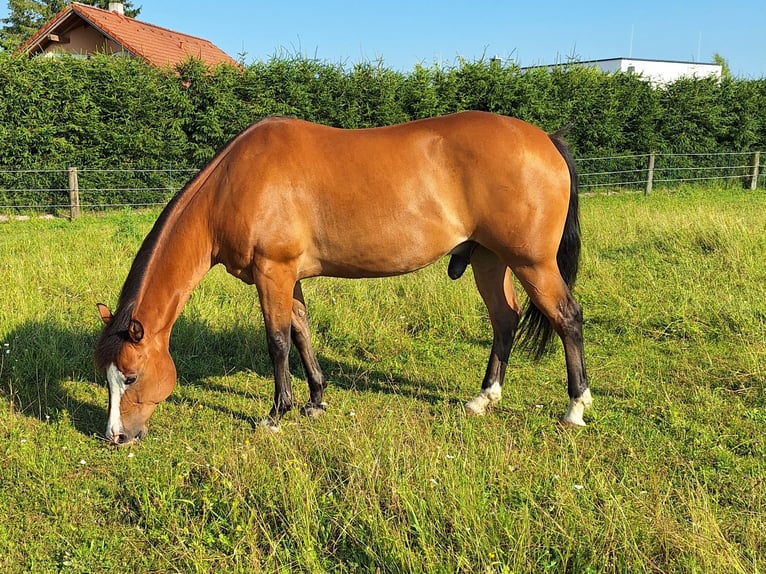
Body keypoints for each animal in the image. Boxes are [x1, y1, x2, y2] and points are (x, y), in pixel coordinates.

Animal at [95, 111, 591, 446]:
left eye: (132, 378)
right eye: (108, 378)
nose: (115, 437)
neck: (234, 184)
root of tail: (546, 139)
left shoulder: (272, 272)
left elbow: (278, 341)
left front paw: (276, 414)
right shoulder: (287, 276)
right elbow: (301, 331)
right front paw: (315, 400)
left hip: (532, 263)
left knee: (568, 317)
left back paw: (576, 406)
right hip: (491, 259)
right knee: (505, 320)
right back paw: (484, 399)